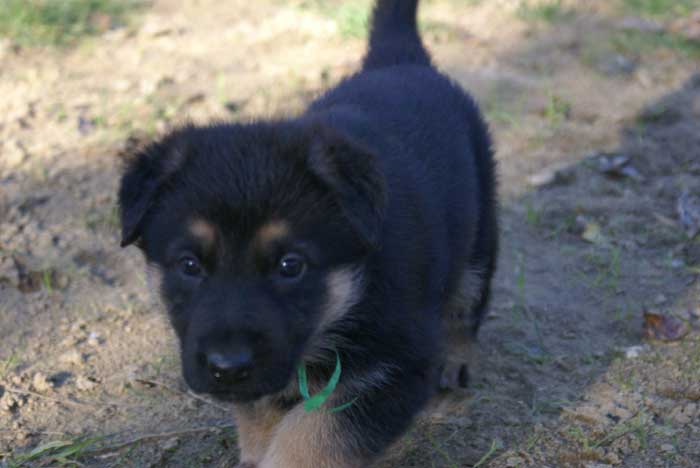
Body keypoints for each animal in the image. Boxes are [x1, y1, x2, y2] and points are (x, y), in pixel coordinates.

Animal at [116, 1, 498, 466]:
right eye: (189, 265)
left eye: (290, 266)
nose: (227, 367)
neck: (354, 290)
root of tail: (399, 60)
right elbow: (262, 411)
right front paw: (255, 449)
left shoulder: (397, 365)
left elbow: (317, 434)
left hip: (480, 230)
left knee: (468, 300)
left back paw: (457, 359)